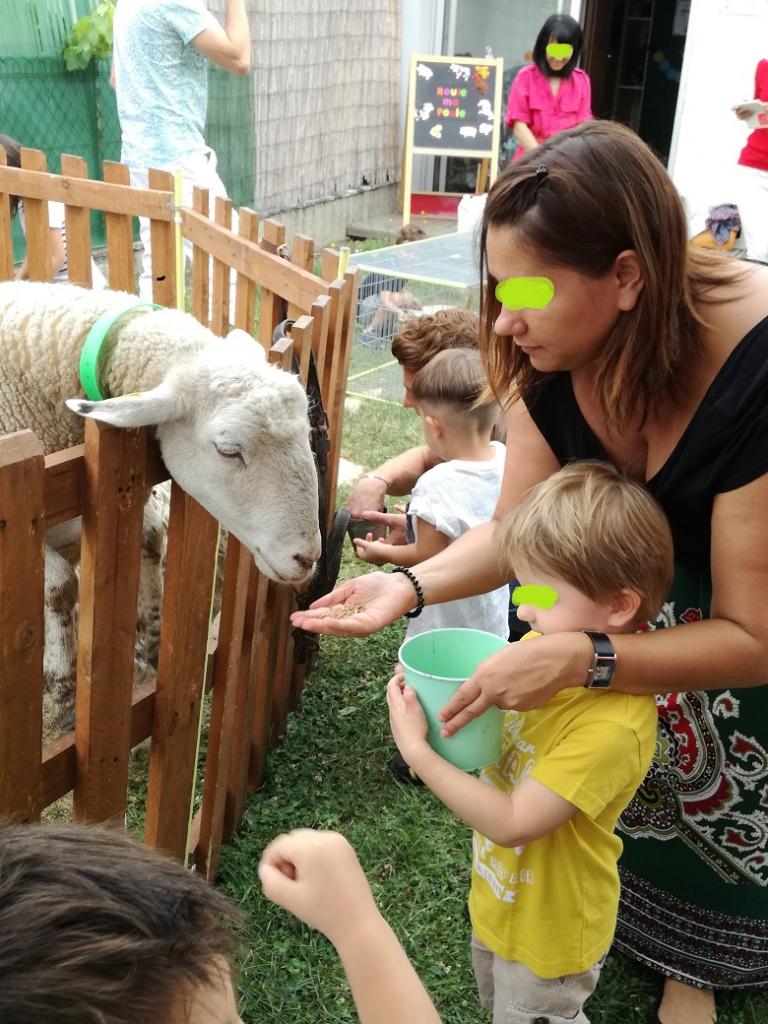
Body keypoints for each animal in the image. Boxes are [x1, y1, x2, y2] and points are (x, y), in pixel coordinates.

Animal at [0, 282, 323, 737]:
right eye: (228, 449)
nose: (307, 559)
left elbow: (150, 539)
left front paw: (152, 643)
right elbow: (59, 583)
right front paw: (63, 686)